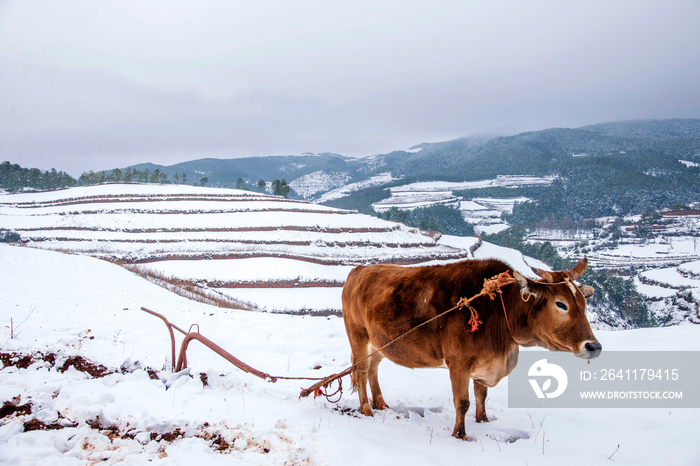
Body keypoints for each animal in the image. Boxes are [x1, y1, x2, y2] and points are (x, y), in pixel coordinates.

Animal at [342, 256, 600, 438]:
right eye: (561, 304)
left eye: (584, 303)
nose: (594, 346)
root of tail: (358, 271)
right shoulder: (458, 364)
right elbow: (462, 402)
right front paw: (460, 435)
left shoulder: (483, 364)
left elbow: (481, 395)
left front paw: (483, 421)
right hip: (358, 336)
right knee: (362, 371)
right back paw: (366, 409)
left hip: (380, 343)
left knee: (373, 369)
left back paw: (380, 404)